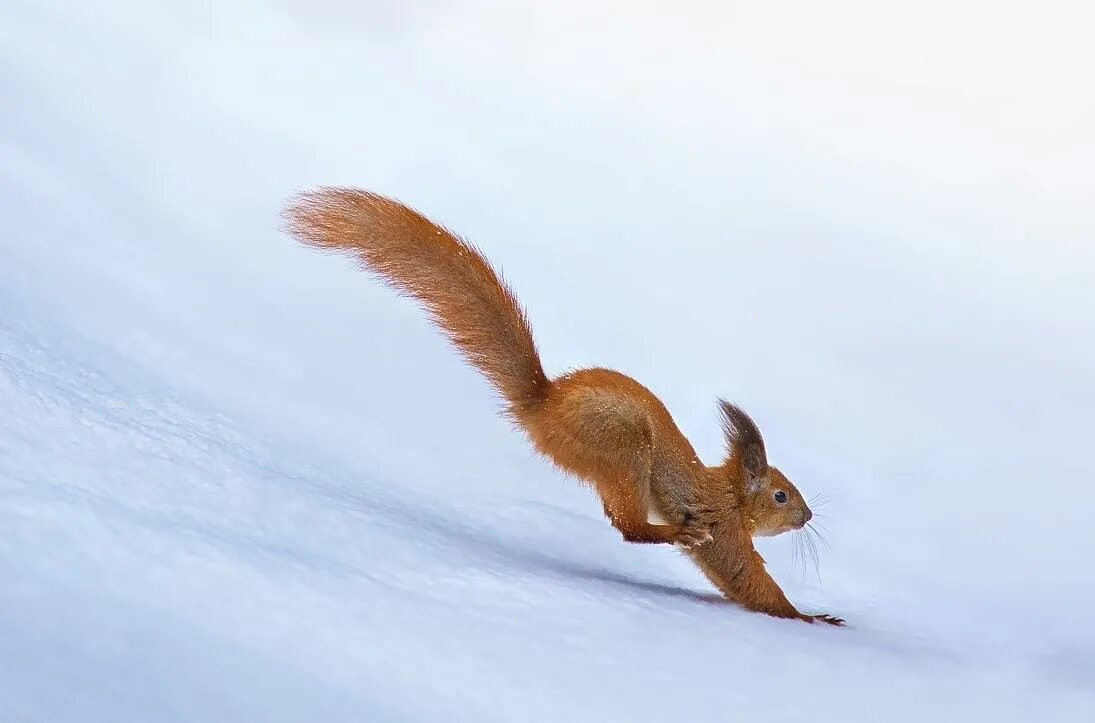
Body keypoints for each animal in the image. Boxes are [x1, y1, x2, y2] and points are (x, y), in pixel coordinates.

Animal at [283, 188, 844, 626]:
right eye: (781, 495)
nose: (809, 514)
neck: (728, 493)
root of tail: (543, 406)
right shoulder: (725, 529)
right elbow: (745, 579)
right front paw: (810, 617)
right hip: (621, 450)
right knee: (630, 528)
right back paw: (676, 530)